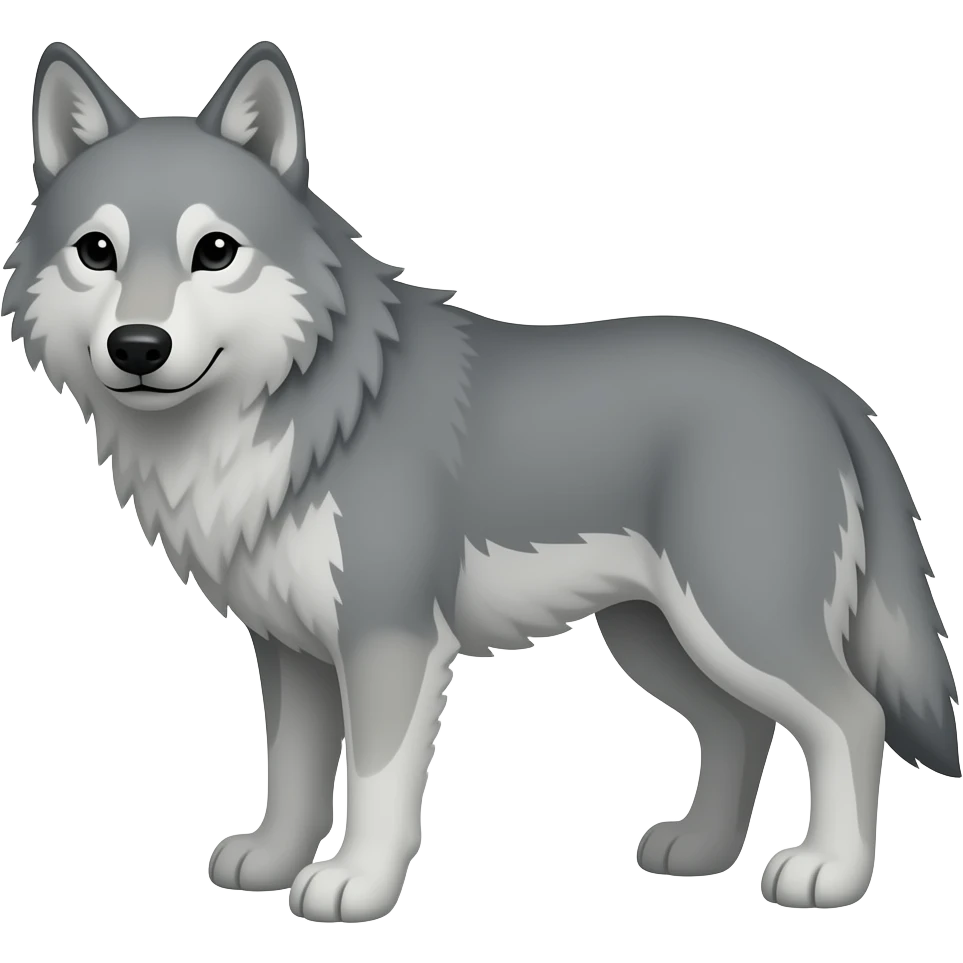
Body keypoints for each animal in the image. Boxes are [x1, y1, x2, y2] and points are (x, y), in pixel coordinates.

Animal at [3, 38, 958, 922]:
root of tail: (824, 384)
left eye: (213, 251)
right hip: (657, 636)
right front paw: (272, 861)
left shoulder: (388, 639)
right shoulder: (290, 649)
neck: (293, 411)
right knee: (741, 724)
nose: (137, 347)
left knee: (851, 717)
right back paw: (698, 850)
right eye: (97, 250)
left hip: (734, 623)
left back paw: (827, 873)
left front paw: (355, 884)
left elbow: (377, 780)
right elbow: (294, 771)